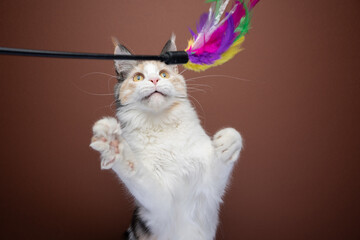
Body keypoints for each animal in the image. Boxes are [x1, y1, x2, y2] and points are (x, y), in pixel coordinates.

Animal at [89, 34, 242, 240]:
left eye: (163, 74)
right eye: (138, 77)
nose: (154, 80)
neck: (161, 124)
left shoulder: (209, 192)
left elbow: (230, 143)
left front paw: (227, 142)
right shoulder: (158, 204)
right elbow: (135, 169)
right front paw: (114, 144)